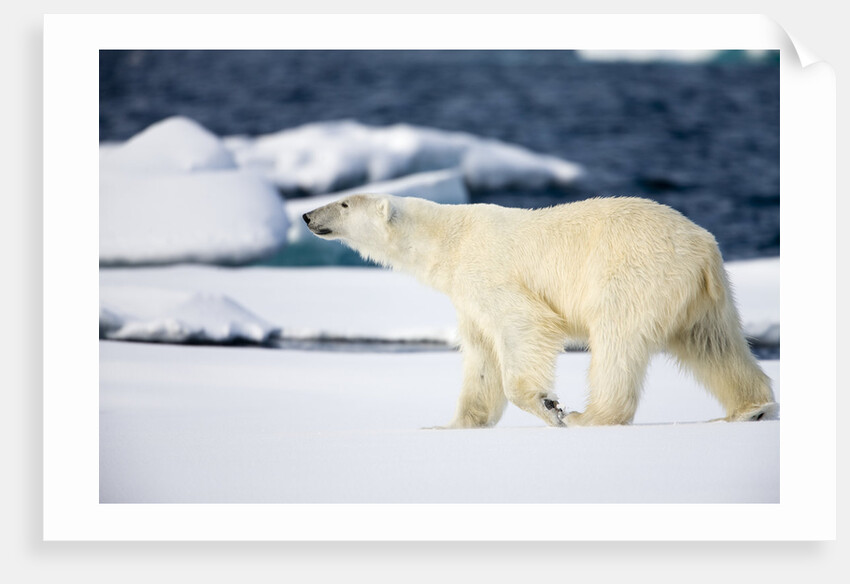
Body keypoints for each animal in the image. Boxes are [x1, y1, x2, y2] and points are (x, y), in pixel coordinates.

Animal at [303, 194, 776, 428]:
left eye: (344, 204)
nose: (307, 215)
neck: (450, 239)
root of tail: (703, 247)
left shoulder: (490, 272)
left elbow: (523, 326)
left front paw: (549, 407)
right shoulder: (466, 299)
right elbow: (481, 357)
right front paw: (453, 426)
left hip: (635, 273)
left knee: (617, 342)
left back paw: (591, 416)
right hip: (703, 298)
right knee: (714, 344)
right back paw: (751, 408)